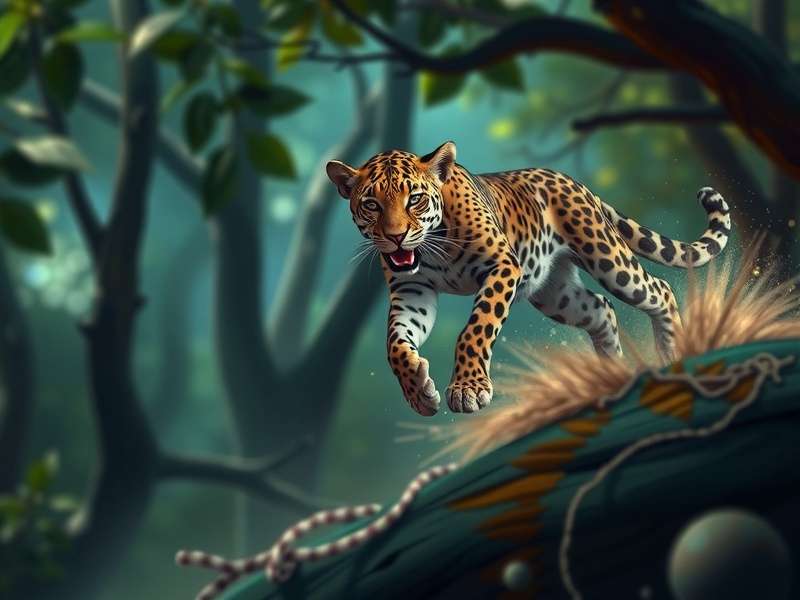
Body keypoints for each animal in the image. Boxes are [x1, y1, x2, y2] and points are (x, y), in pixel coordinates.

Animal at [326, 141, 731, 417]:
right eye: (371, 204)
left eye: (415, 199)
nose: (395, 237)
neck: (431, 247)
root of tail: (571, 180)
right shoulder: (413, 291)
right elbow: (395, 344)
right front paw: (419, 393)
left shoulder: (502, 265)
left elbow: (475, 328)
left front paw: (468, 388)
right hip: (555, 292)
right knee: (601, 308)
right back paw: (611, 371)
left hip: (607, 259)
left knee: (658, 289)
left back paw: (671, 351)